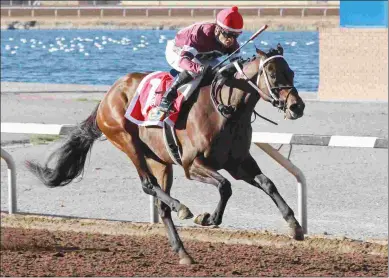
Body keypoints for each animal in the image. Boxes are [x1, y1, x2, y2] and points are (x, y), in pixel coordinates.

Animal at [26, 43, 306, 264]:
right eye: (272, 74)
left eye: (291, 72)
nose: (297, 106)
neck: (226, 111)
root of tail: (108, 95)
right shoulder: (192, 164)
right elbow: (225, 186)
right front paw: (208, 218)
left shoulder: (237, 162)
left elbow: (267, 183)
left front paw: (294, 226)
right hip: (127, 140)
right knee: (148, 185)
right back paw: (182, 207)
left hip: (160, 160)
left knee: (162, 207)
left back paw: (182, 251)